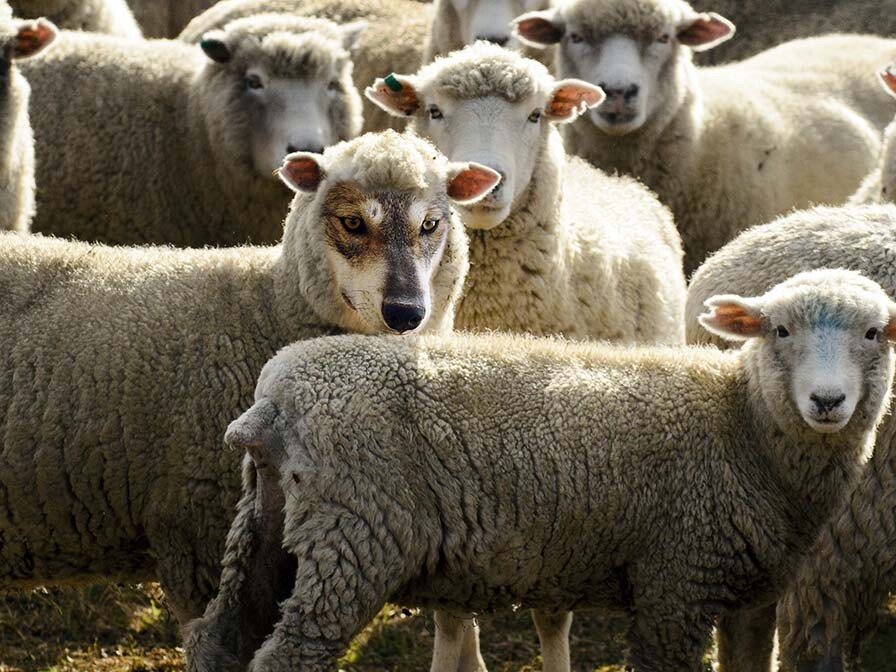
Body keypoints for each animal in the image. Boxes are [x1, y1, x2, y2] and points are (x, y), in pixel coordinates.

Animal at [185, 268, 896, 672]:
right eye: (780, 331)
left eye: (874, 333)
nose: (827, 401)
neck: (742, 424)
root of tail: (278, 393)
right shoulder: (677, 582)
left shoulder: (751, 597)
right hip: (354, 535)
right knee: (288, 655)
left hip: (269, 522)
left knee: (217, 641)